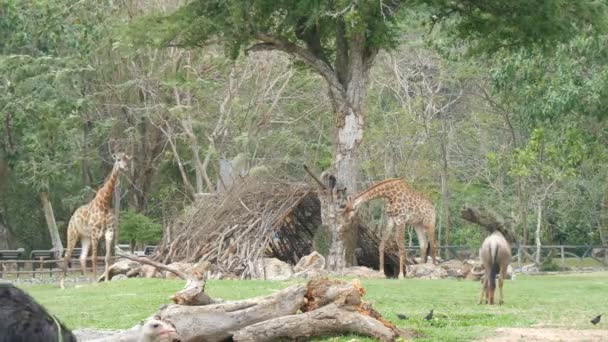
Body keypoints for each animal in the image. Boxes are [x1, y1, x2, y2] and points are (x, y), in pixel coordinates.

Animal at [63, 152, 129, 280]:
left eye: (127, 159)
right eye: (118, 159)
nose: (125, 167)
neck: (105, 203)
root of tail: (72, 217)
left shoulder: (109, 231)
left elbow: (107, 258)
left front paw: (106, 280)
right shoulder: (95, 232)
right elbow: (94, 257)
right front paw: (95, 281)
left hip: (85, 237)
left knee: (82, 257)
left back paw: (85, 282)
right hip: (72, 233)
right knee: (67, 255)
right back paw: (63, 283)